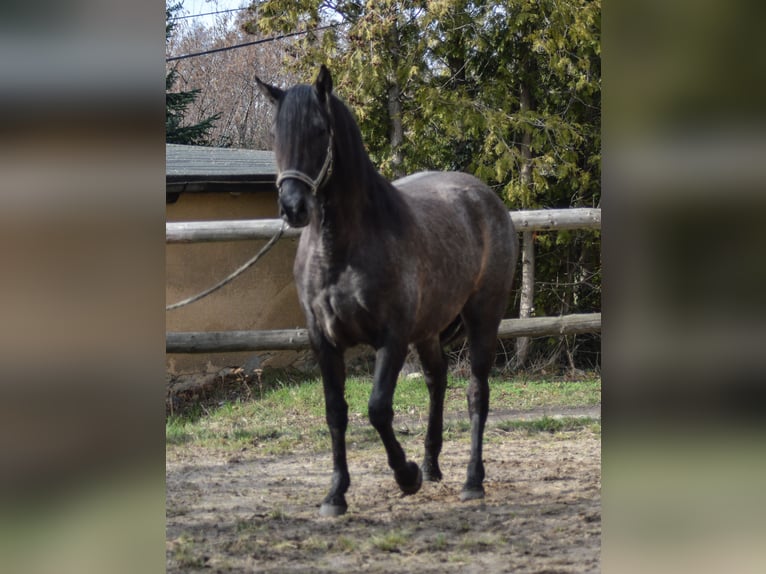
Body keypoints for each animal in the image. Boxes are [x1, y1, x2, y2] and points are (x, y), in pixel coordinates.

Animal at [260, 66, 520, 516]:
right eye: (279, 135)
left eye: (320, 130)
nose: (294, 208)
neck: (341, 248)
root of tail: (486, 198)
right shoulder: (323, 341)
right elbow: (335, 412)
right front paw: (336, 494)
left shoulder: (391, 338)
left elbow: (378, 409)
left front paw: (406, 475)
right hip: (429, 329)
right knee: (437, 380)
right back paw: (432, 465)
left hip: (483, 316)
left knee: (476, 393)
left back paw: (471, 480)